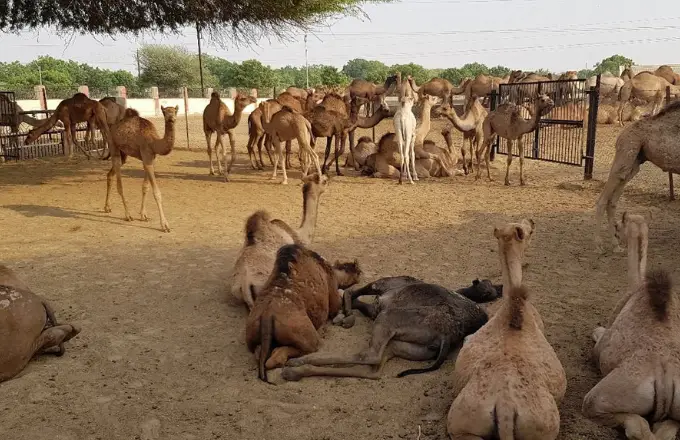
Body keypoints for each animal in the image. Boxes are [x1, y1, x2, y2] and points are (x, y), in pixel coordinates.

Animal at [246, 244, 362, 382]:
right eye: (357, 272)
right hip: (307, 336)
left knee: (258, 351)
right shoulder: (333, 292)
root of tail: (267, 315)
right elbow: (338, 302)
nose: (360, 273)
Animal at [280, 276, 489, 382]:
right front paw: (345, 315)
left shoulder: (379, 289)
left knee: (369, 356)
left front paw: (344, 315)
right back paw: (295, 371)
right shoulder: (375, 306)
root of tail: (447, 335)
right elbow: (353, 298)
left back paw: (298, 363)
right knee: (373, 371)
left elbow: (350, 293)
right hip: (402, 345)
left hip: (388, 318)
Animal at [583, 215, 680, 440]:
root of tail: (666, 377)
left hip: (604, 396)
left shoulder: (600, 345)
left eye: (619, 225)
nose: (616, 234)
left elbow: (597, 334)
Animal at [595, 101, 680, 252]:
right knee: (603, 199)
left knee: (612, 201)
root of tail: (622, 134)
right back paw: (599, 245)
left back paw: (616, 245)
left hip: (633, 164)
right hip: (625, 155)